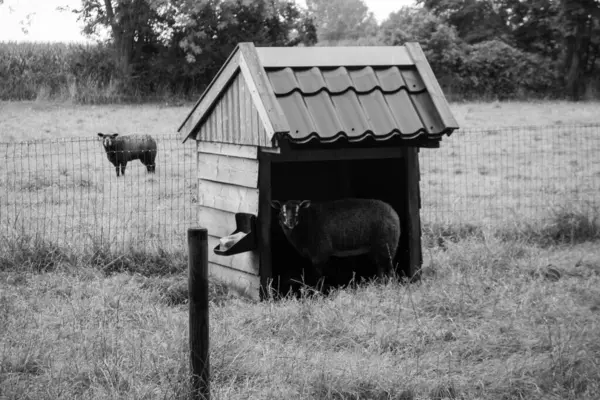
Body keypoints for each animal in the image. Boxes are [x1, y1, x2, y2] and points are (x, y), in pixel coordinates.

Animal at [270, 198, 400, 282]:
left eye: (298, 211)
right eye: (282, 211)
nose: (290, 222)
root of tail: (394, 213)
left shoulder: (320, 252)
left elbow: (318, 276)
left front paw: (318, 294)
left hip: (387, 243)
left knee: (389, 266)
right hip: (378, 247)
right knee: (381, 266)